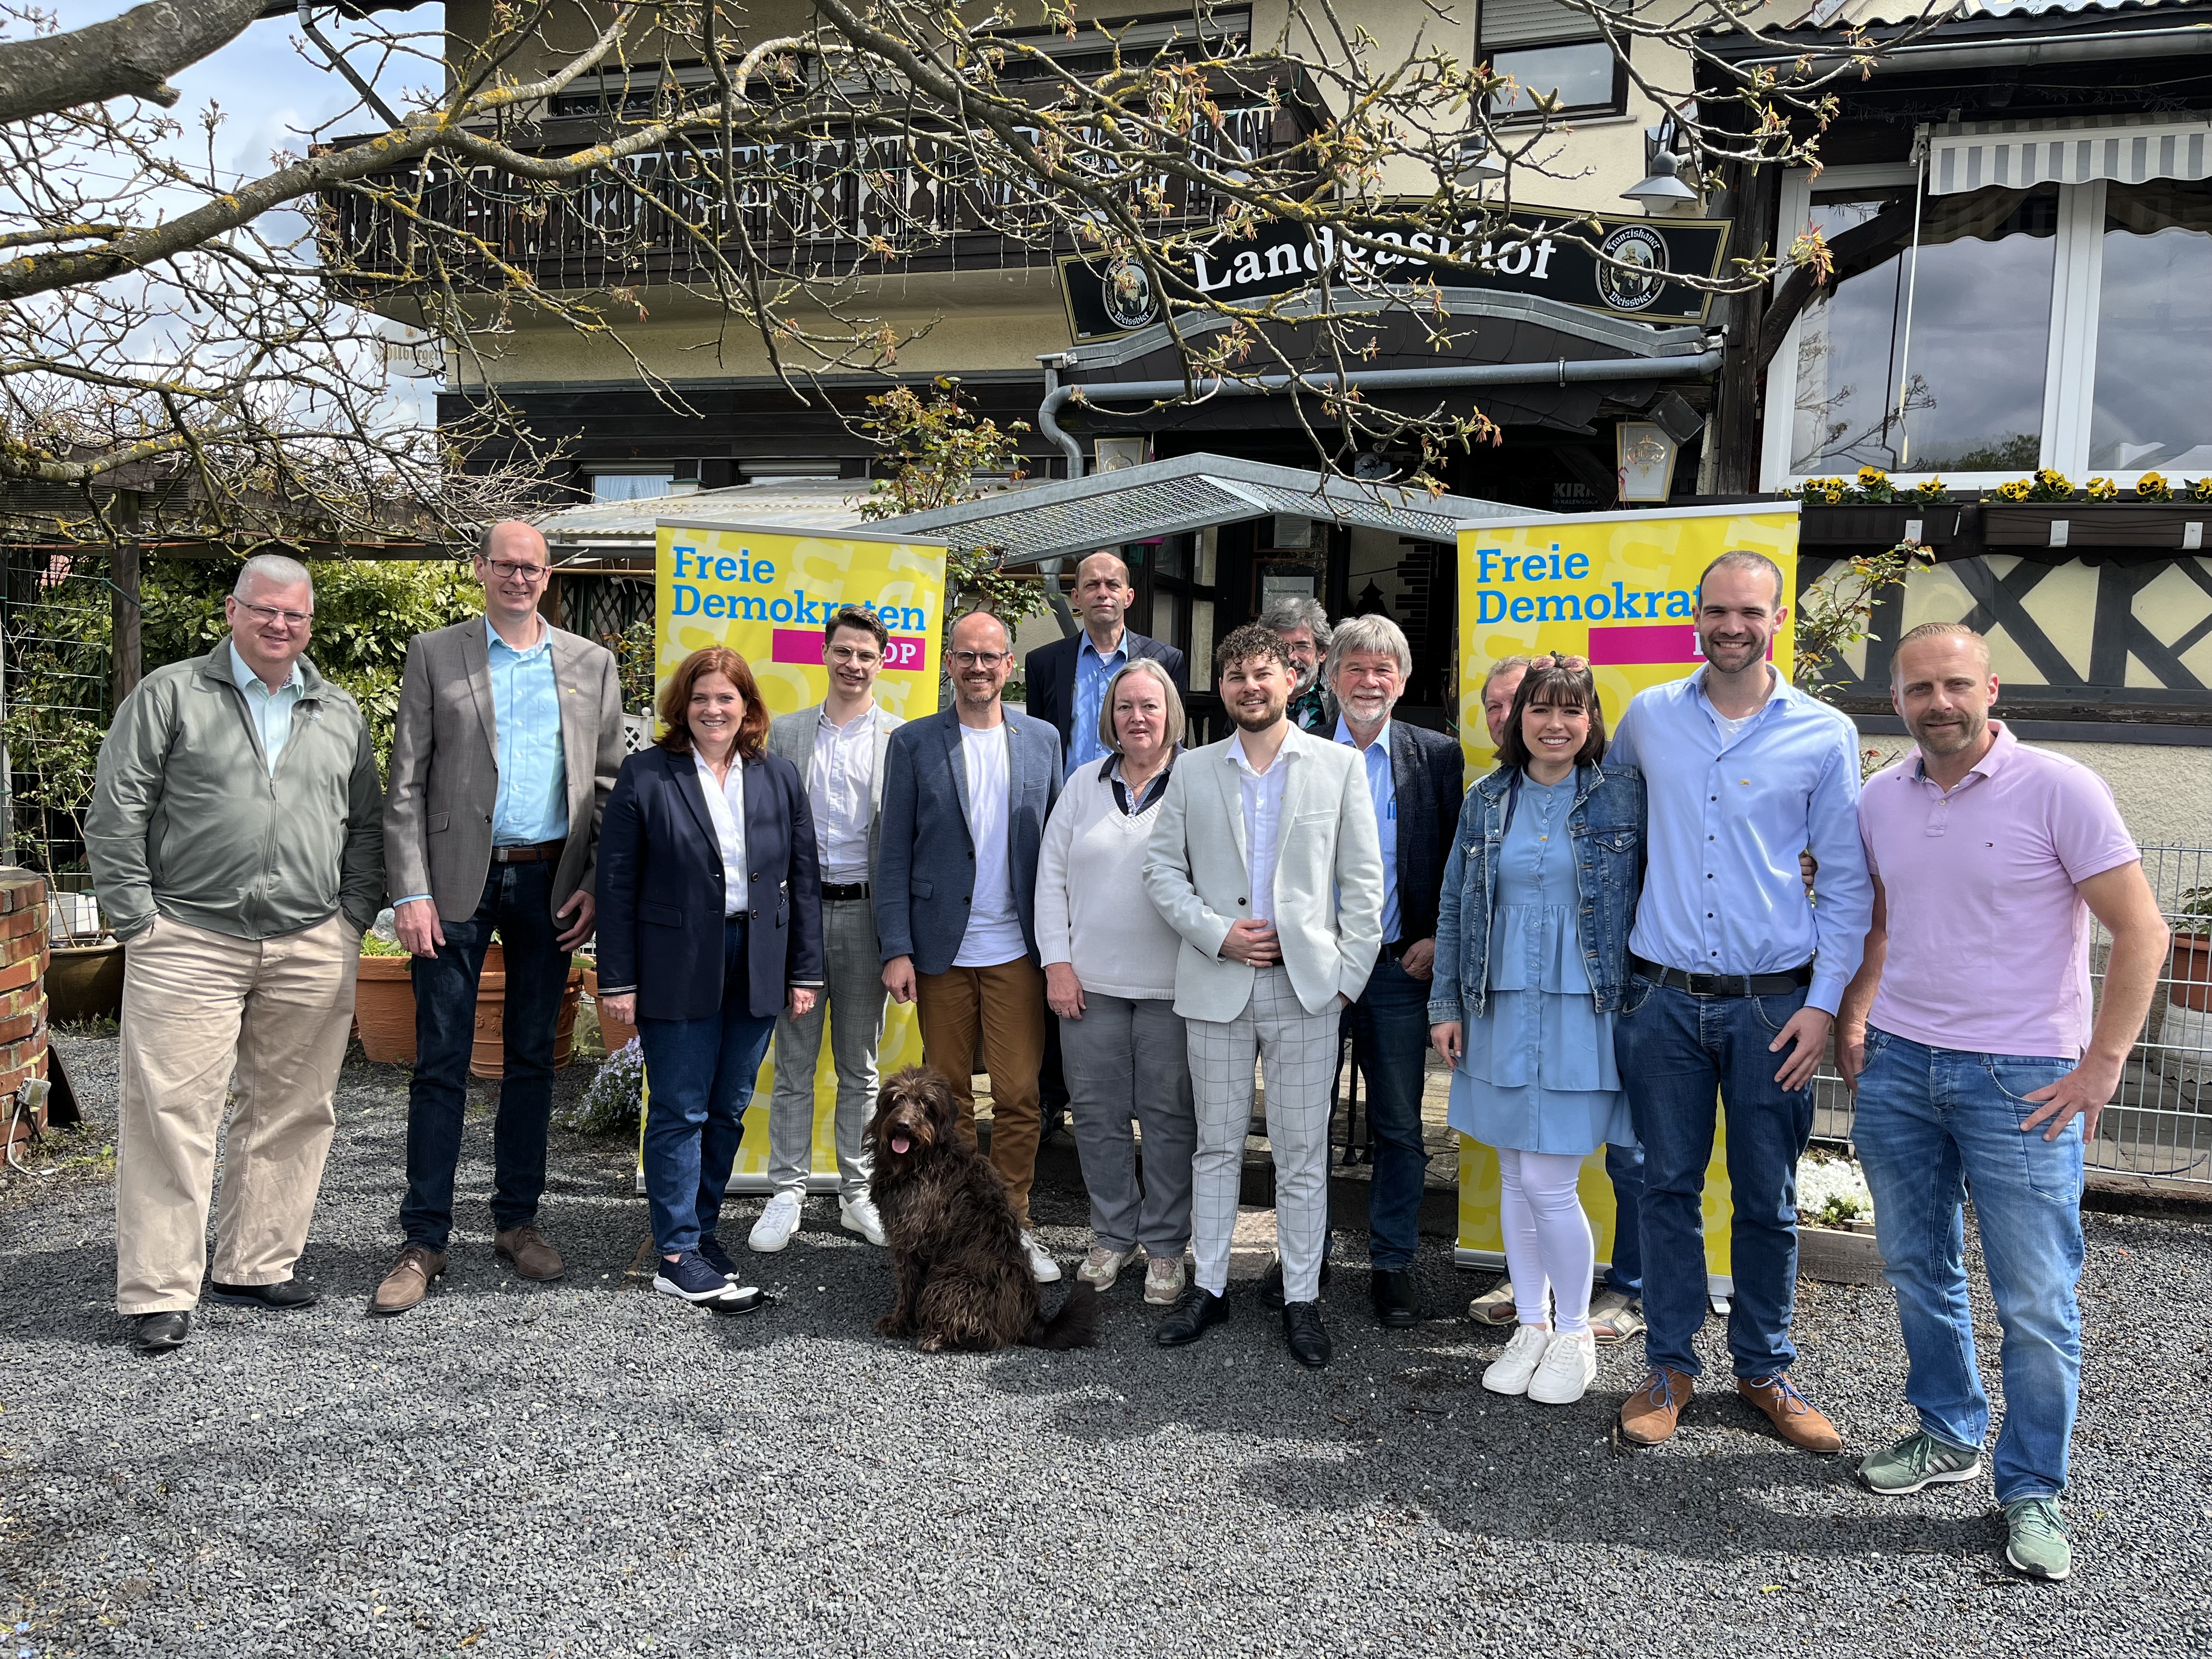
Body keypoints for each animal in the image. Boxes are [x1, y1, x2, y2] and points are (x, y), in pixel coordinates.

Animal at [867, 1070, 1101, 1353]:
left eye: (926, 1105)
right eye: (897, 1099)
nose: (903, 1125)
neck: (922, 1162)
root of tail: (1030, 1320)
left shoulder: (911, 1242)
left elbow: (908, 1288)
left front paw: (898, 1323)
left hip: (948, 1283)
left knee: (988, 1337)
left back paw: (939, 1338)